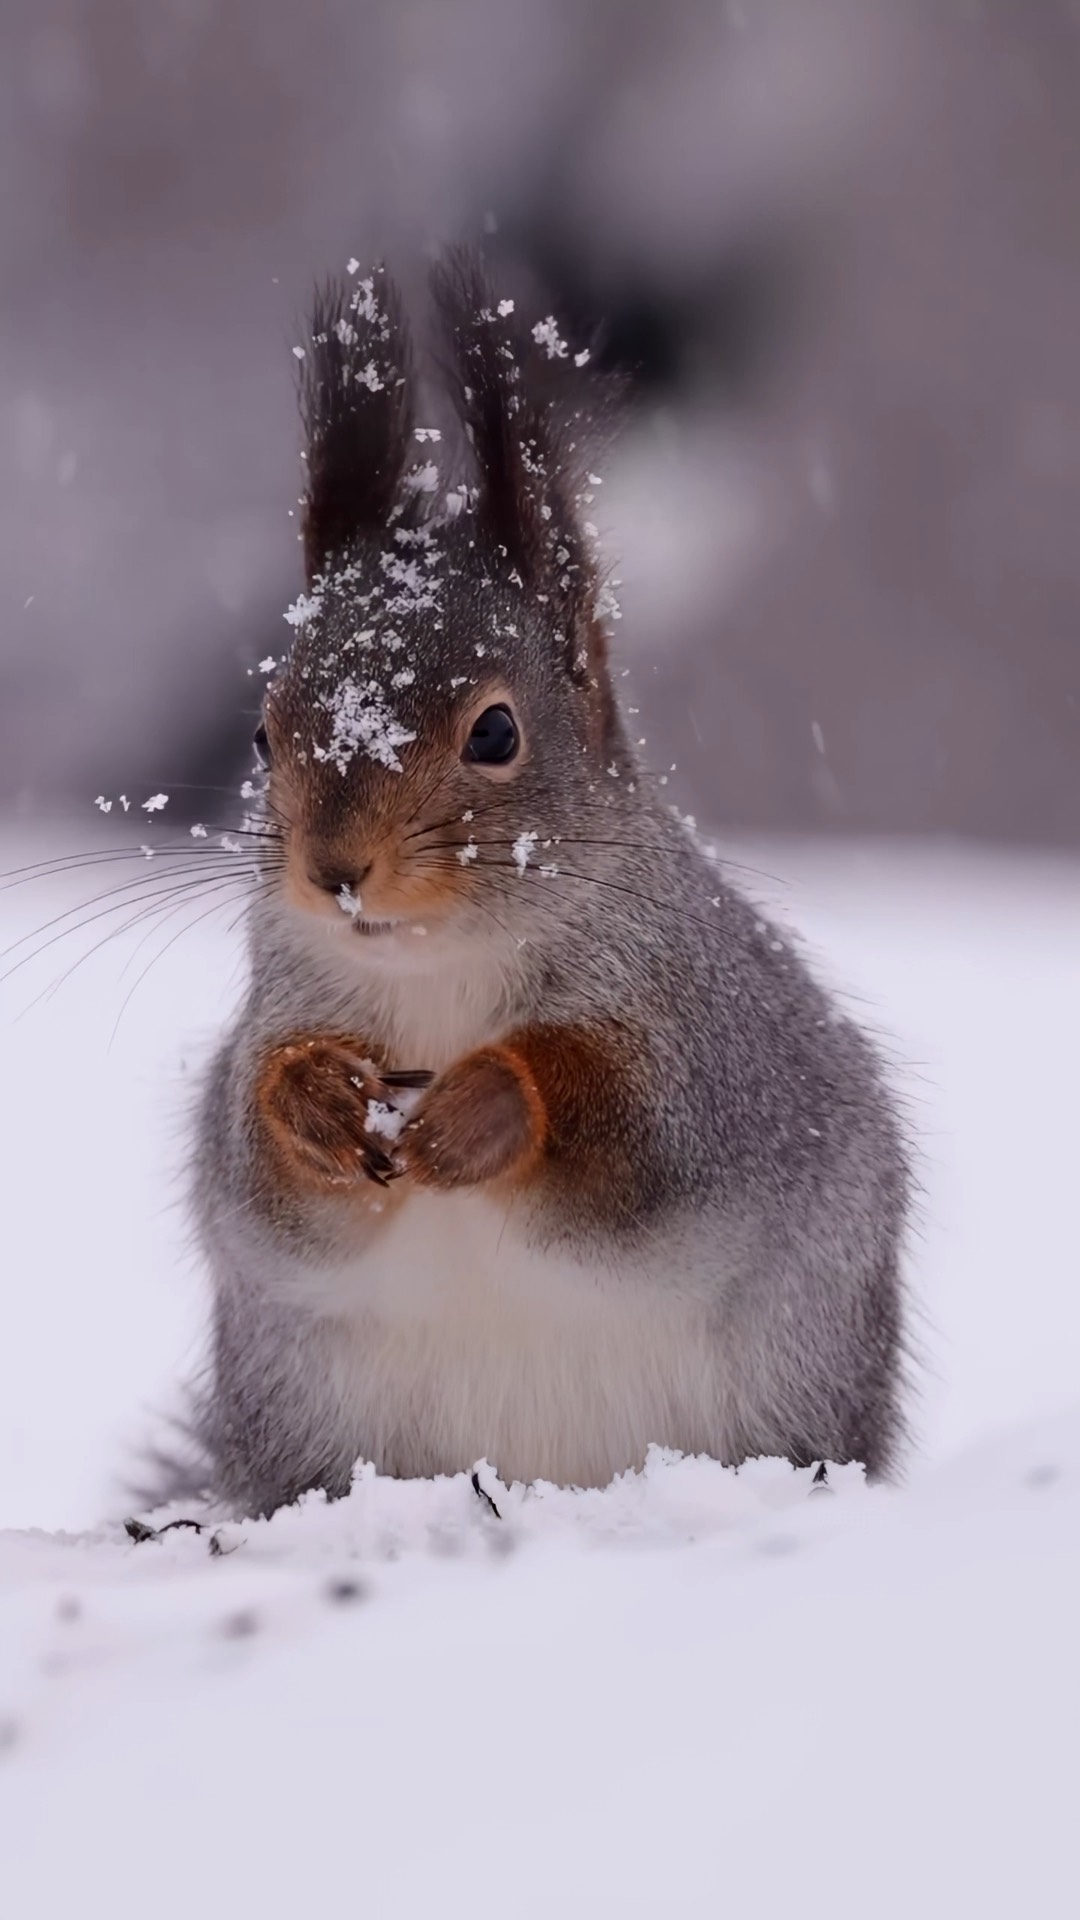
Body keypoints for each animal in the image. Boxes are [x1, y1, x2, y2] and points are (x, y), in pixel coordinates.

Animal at [184, 251, 907, 1512]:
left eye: (496, 732)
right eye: (265, 734)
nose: (334, 872)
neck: (441, 972)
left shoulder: (712, 1052)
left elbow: (640, 1134)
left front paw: (490, 1106)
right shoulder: (274, 1018)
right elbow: (258, 1168)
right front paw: (314, 1097)